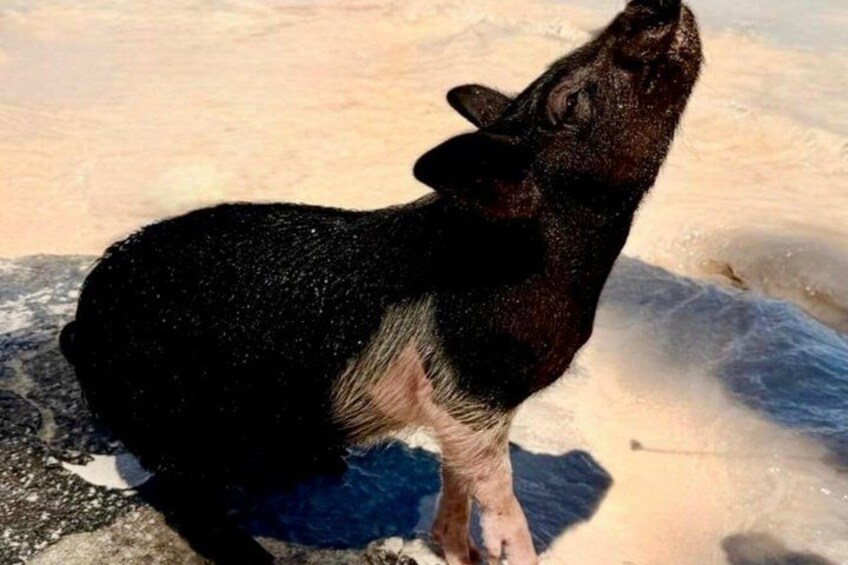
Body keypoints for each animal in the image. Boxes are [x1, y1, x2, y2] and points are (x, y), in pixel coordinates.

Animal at [60, 0, 702, 563]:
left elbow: (456, 480)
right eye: (570, 100)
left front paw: (460, 554)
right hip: (167, 422)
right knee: (181, 499)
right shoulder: (465, 395)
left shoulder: (464, 410)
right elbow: (500, 497)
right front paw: (507, 553)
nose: (649, 3)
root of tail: (80, 325)